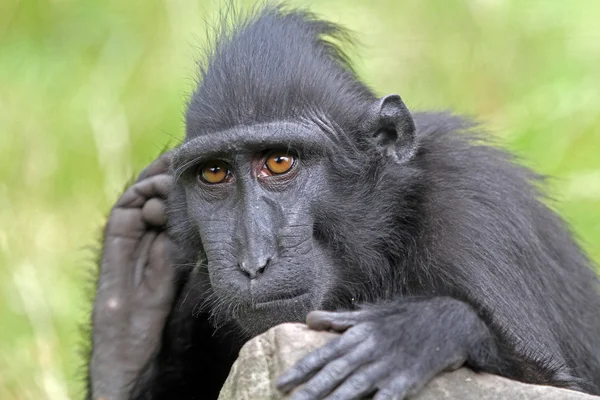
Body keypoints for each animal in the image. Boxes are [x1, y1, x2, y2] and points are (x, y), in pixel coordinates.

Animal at [88, 5, 600, 400]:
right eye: (214, 172)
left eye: (279, 162)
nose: (253, 261)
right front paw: (129, 296)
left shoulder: (474, 209)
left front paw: (419, 330)